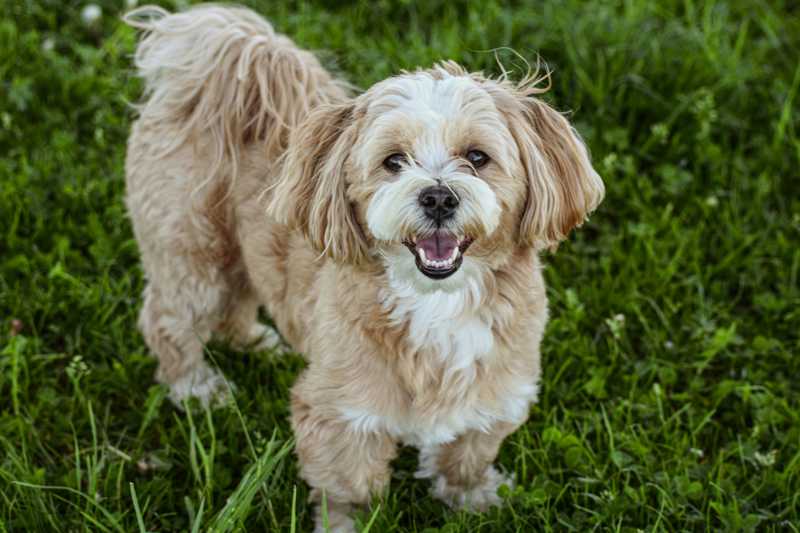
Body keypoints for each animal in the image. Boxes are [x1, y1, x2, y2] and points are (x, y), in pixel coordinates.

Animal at [123, 3, 600, 528]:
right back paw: (196, 389)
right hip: (192, 251)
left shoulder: (494, 394)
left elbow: (467, 453)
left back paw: (255, 342)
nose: (438, 196)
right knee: (170, 320)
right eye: (394, 161)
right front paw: (346, 524)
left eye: (478, 157)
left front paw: (472, 498)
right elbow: (347, 486)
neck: (437, 304)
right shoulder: (340, 414)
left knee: (240, 296)